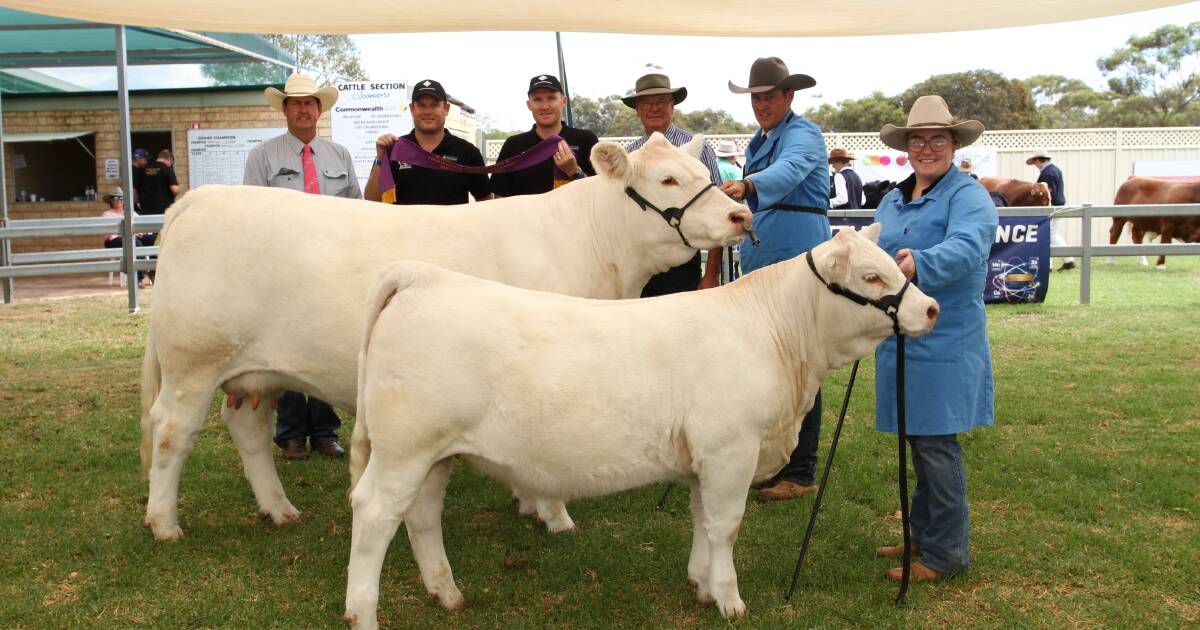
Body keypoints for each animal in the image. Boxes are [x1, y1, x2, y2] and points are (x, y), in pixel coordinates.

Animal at [140, 132, 748, 540]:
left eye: (702, 174)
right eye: (667, 180)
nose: (740, 214)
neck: (596, 250)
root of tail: (201, 197)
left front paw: (528, 502)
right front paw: (554, 514)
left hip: (256, 370)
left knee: (246, 427)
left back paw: (279, 509)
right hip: (194, 359)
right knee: (172, 431)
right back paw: (164, 523)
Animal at [343, 224, 940, 624]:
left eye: (894, 265)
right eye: (871, 275)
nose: (931, 309)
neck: (775, 336)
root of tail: (423, 276)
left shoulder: (705, 457)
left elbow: (702, 521)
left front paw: (702, 584)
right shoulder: (732, 449)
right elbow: (726, 525)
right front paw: (731, 600)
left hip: (435, 453)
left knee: (421, 516)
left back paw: (447, 593)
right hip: (404, 449)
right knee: (374, 514)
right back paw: (363, 614)